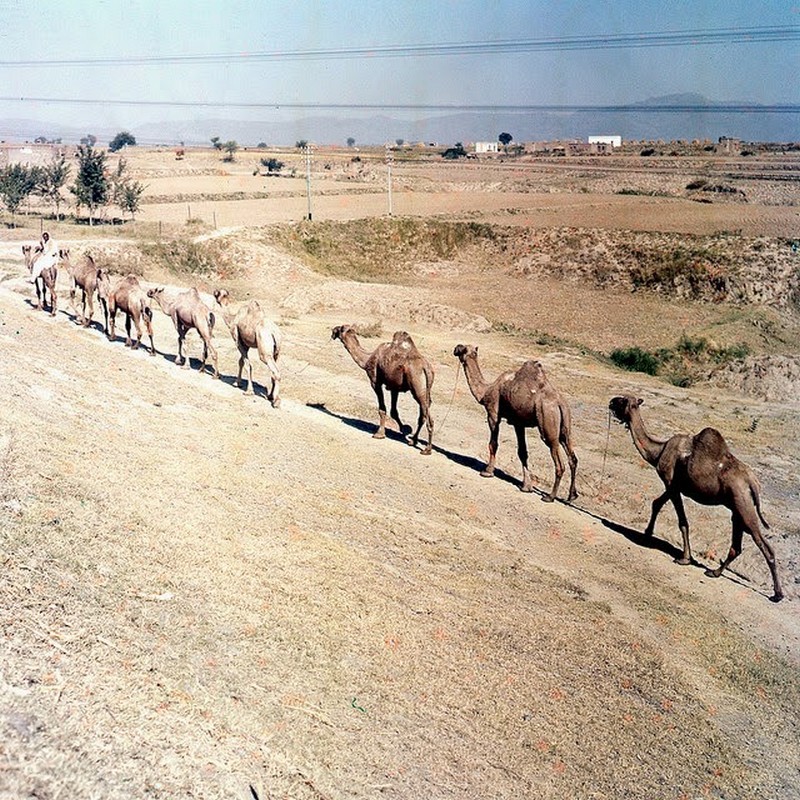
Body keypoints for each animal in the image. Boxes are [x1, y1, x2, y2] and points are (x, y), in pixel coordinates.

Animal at [330, 322, 434, 454]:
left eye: (340, 328)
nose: (333, 330)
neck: (367, 359)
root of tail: (426, 367)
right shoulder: (394, 387)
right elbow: (394, 411)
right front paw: (404, 428)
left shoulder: (375, 381)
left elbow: (382, 408)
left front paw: (379, 434)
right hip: (426, 389)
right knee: (423, 412)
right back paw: (413, 441)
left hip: (417, 385)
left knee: (426, 413)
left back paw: (427, 449)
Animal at [454, 342, 580, 500]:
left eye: (462, 348)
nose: (455, 348)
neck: (486, 391)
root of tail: (560, 403)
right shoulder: (518, 423)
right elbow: (522, 452)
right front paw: (526, 486)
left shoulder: (493, 413)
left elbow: (493, 444)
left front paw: (487, 471)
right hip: (565, 424)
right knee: (572, 457)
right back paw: (572, 495)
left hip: (548, 421)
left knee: (558, 459)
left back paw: (549, 496)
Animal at [608, 390, 784, 604]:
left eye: (623, 400)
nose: (611, 401)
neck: (658, 452)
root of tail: (753, 483)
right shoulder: (674, 485)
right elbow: (657, 503)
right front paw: (647, 533)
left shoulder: (671, 483)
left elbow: (682, 521)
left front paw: (684, 558)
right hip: (738, 508)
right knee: (737, 545)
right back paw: (714, 572)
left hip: (744, 505)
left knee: (764, 545)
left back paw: (777, 594)